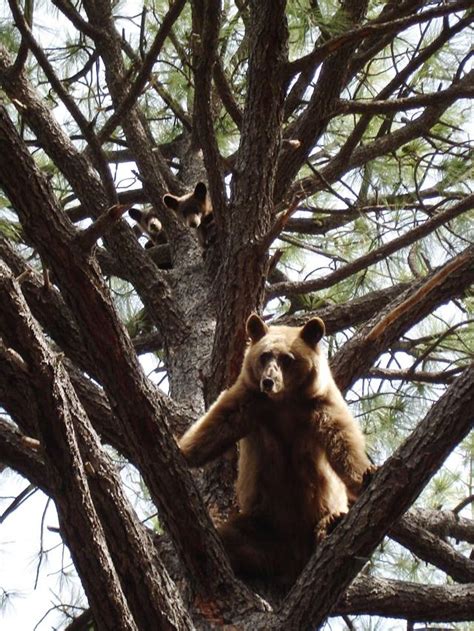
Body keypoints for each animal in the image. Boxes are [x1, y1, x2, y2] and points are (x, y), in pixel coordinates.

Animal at [179, 314, 374, 584]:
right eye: (264, 355)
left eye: (287, 358)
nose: (268, 381)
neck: (284, 402)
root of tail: (291, 561)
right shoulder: (249, 400)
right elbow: (215, 424)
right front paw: (182, 450)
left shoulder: (319, 404)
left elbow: (342, 440)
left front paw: (367, 473)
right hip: (259, 524)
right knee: (228, 537)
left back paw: (332, 522)